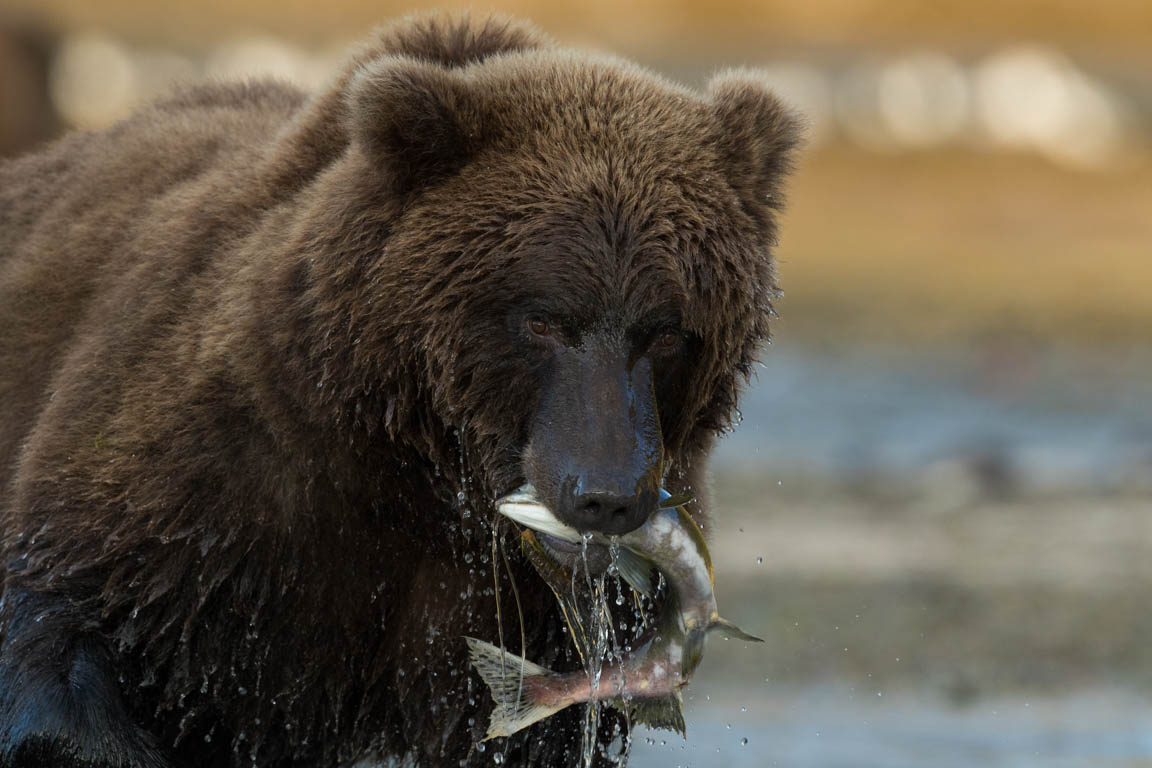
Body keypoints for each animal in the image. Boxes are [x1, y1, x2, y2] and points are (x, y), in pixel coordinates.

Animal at [0, 12, 801, 768]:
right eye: (542, 318)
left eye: (667, 331)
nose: (605, 494)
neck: (420, 477)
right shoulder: (220, 488)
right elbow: (62, 618)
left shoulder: (518, 613)